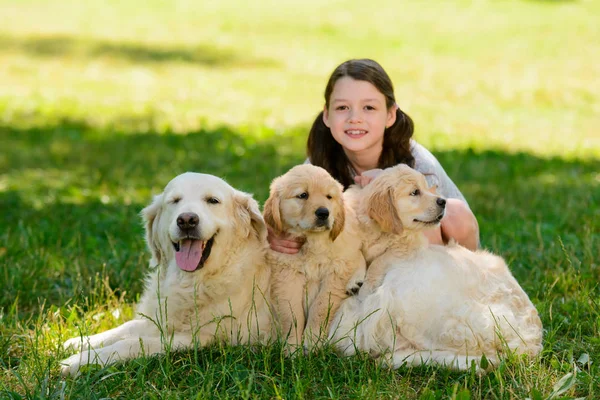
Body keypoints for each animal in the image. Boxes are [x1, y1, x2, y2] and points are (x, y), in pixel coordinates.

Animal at [266, 164, 366, 348]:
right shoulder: (286, 277)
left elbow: (320, 307)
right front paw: (292, 347)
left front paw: (312, 341)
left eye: (329, 197)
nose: (323, 213)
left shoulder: (336, 273)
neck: (313, 241)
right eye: (303, 195)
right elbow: (291, 314)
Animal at [330, 165, 540, 372]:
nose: (442, 201)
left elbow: (379, 262)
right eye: (415, 192)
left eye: (426, 188)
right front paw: (356, 279)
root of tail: (533, 340)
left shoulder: (405, 247)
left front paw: (365, 286)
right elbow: (358, 253)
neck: (381, 231)